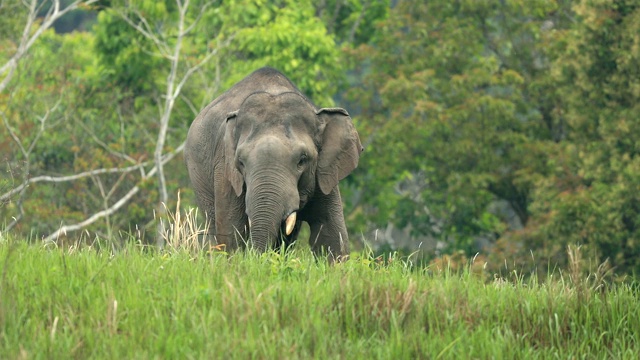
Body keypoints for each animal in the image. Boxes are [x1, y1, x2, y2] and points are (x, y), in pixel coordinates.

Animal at [185, 66, 364, 260]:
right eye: (241, 162)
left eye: (302, 160)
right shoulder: (225, 171)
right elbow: (231, 233)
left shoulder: (324, 175)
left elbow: (331, 235)